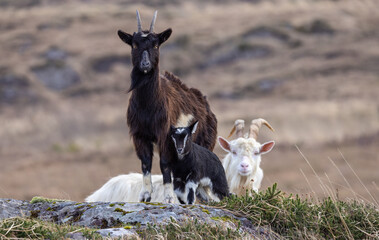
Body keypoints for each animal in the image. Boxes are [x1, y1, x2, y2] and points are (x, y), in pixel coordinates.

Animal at [117, 10, 218, 202]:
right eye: (134, 45)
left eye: (156, 45)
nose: (145, 65)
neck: (148, 106)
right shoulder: (139, 134)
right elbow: (146, 162)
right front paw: (145, 195)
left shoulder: (165, 135)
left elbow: (164, 164)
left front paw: (169, 198)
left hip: (204, 142)